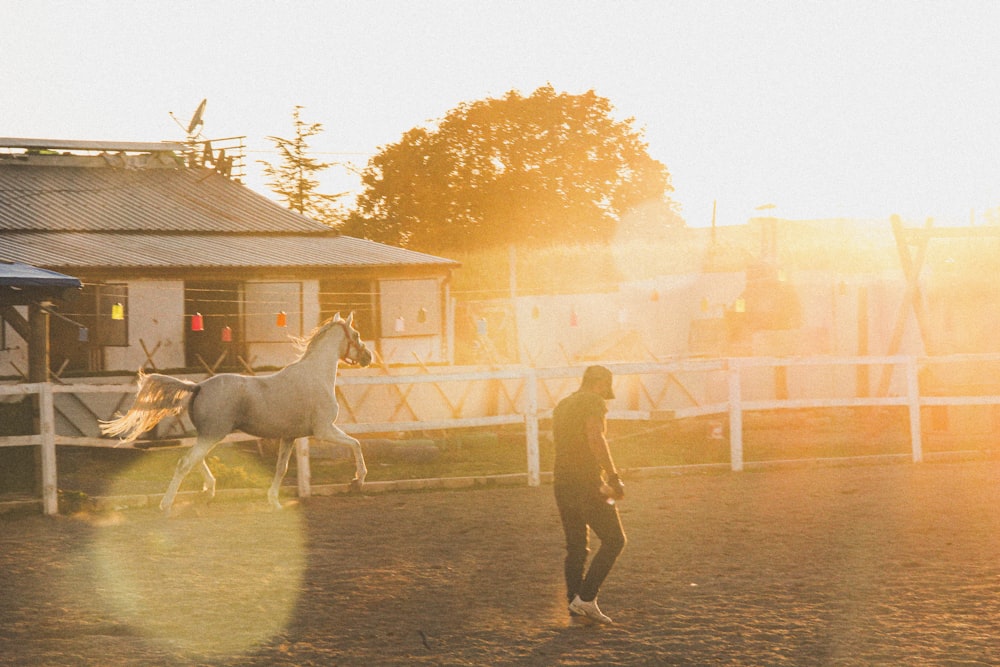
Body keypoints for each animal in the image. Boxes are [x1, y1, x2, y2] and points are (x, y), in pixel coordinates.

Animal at [99, 314, 374, 516]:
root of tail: (199, 386)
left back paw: (208, 491)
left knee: (194, 459)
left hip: (208, 435)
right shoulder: (324, 430)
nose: (368, 357)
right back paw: (167, 504)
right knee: (186, 462)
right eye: (357, 335)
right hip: (214, 434)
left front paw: (274, 502)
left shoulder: (289, 437)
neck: (315, 375)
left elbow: (281, 469)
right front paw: (357, 480)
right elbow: (356, 444)